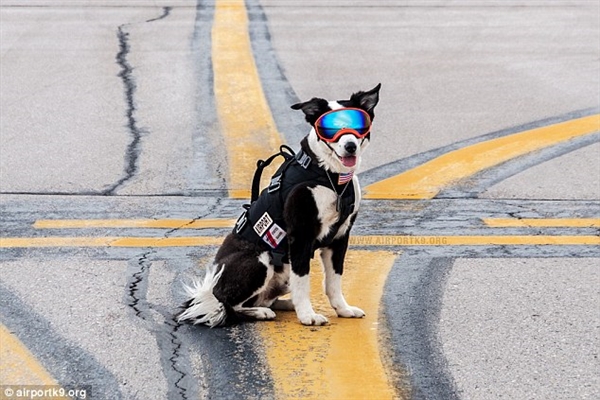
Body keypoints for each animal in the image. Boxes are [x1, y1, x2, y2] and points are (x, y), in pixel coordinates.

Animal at [178, 83, 382, 326]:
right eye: (328, 129)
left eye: (359, 125)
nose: (350, 146)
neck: (331, 176)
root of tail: (211, 291)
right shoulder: (300, 236)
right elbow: (303, 282)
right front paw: (307, 315)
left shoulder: (340, 237)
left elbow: (334, 281)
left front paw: (343, 309)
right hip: (259, 260)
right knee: (228, 306)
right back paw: (260, 312)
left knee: (263, 299)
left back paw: (284, 305)